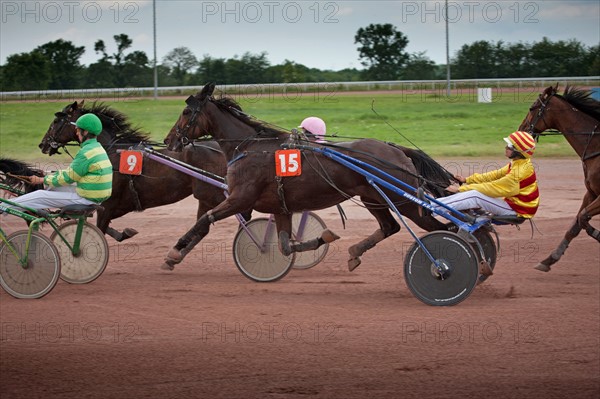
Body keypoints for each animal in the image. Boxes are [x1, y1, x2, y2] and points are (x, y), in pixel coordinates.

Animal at [37, 101, 241, 242]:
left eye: (56, 121)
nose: (43, 144)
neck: (111, 152)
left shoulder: (108, 206)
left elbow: (98, 229)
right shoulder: (112, 208)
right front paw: (125, 233)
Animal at [162, 83, 452, 272]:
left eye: (186, 112)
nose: (168, 140)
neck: (249, 147)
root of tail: (397, 149)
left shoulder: (240, 198)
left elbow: (204, 219)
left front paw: (174, 252)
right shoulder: (280, 207)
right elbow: (285, 246)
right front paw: (323, 238)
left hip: (404, 201)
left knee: (443, 228)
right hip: (373, 198)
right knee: (390, 227)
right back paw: (355, 252)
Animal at [516, 84, 596, 272]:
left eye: (532, 108)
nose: (521, 129)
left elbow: (582, 218)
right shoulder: (591, 193)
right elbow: (576, 224)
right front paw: (549, 259)